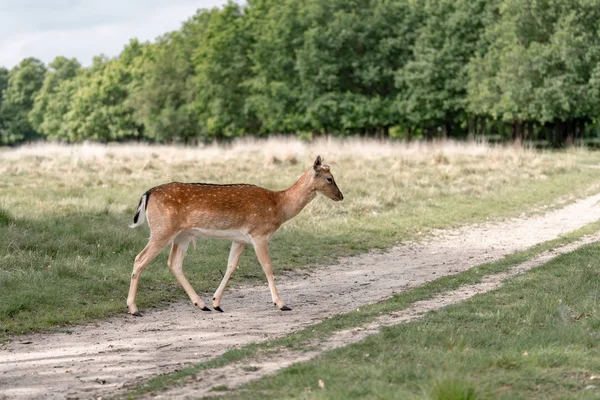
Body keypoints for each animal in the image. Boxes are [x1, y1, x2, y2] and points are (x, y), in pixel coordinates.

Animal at [126, 156, 342, 316]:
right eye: (330, 178)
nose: (341, 196)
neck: (278, 206)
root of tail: (147, 194)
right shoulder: (259, 233)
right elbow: (267, 267)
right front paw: (282, 304)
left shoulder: (240, 239)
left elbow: (231, 266)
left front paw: (216, 303)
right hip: (162, 230)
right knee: (139, 258)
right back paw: (133, 309)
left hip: (182, 235)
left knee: (174, 263)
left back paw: (201, 304)